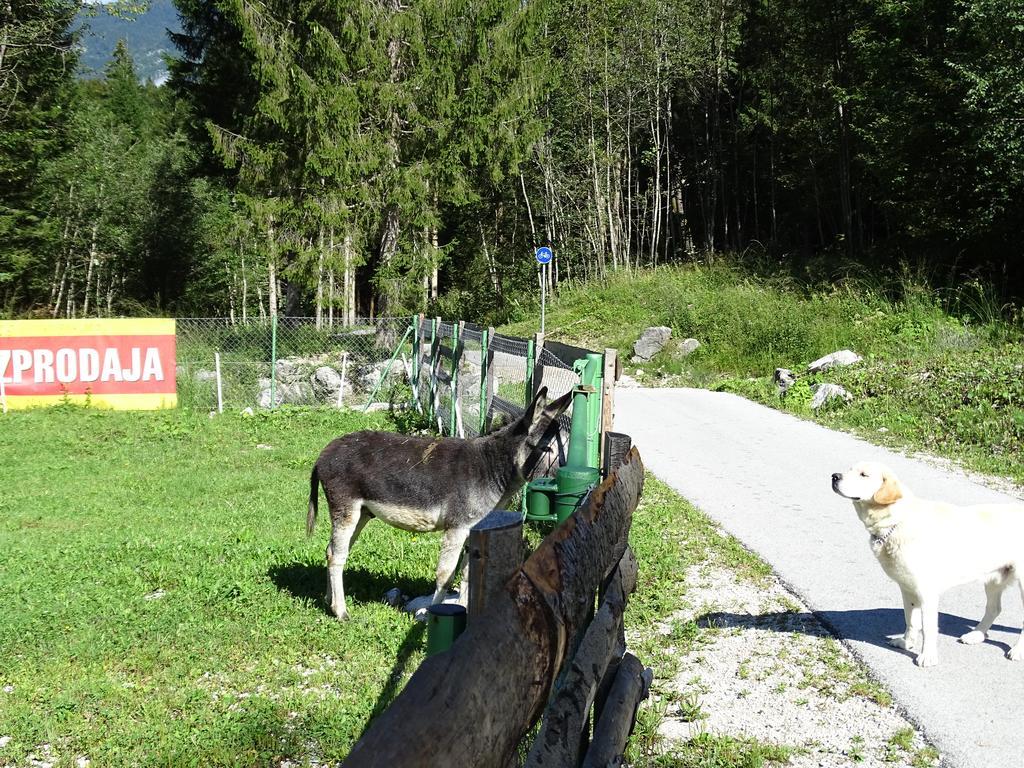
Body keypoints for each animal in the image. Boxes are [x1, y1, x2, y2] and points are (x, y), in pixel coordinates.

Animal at [831, 462, 1024, 667]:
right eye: (849, 469)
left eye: (864, 475)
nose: (834, 476)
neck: (897, 521)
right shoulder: (907, 588)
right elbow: (910, 620)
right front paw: (906, 643)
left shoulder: (927, 592)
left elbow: (928, 627)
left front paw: (927, 656)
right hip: (993, 579)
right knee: (994, 608)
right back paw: (976, 635)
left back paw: (1017, 650)